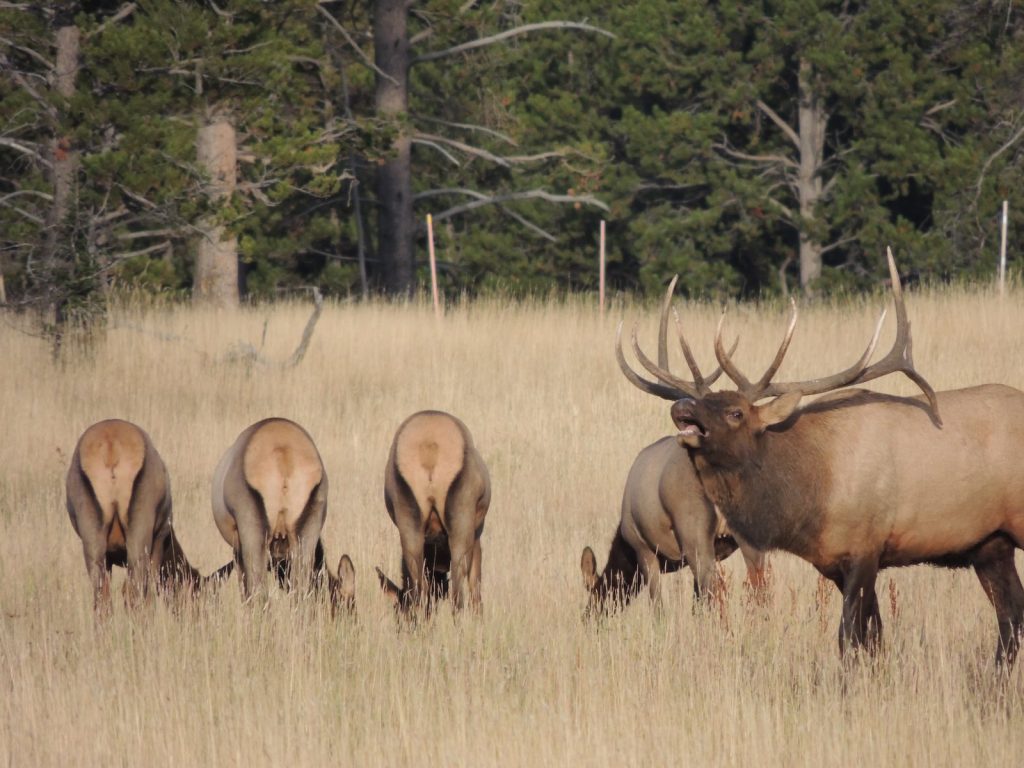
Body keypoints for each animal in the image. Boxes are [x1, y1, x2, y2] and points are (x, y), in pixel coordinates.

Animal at [66, 419, 233, 615]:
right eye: (201, 599)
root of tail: (111, 447)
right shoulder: (159, 539)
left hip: (94, 543)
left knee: (102, 598)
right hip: (139, 539)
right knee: (134, 592)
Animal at [212, 417, 354, 609]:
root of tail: (284, 453)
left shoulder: (239, 548)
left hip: (254, 533)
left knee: (259, 593)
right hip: (307, 530)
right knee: (301, 592)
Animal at [376, 410, 491, 614]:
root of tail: (429, 448)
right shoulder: (477, 532)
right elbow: (475, 589)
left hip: (408, 520)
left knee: (419, 590)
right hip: (461, 523)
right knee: (457, 592)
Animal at [618, 248, 1024, 667]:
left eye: (736, 412)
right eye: (701, 401)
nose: (682, 406)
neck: (811, 494)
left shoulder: (867, 546)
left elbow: (849, 638)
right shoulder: (832, 562)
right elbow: (875, 638)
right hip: (991, 544)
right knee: (1011, 619)